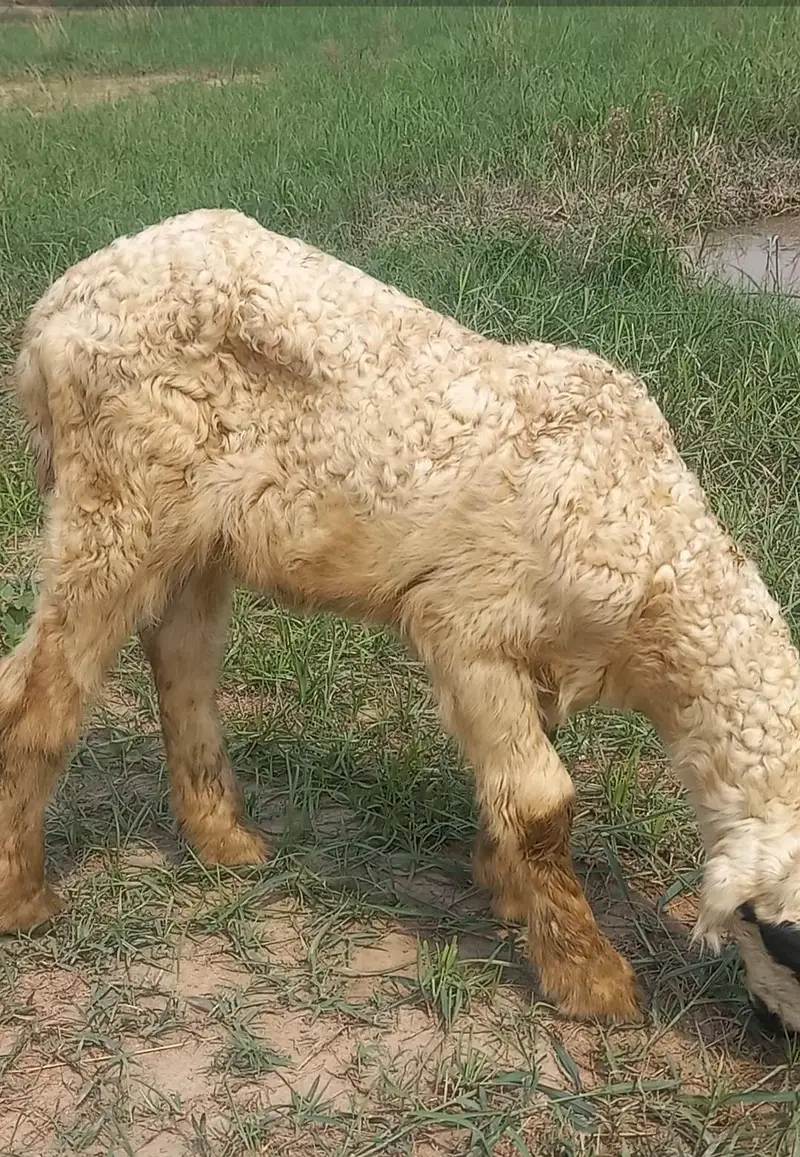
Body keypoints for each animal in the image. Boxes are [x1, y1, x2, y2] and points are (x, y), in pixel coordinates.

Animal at [3, 207, 800, 1032]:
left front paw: (506, 887)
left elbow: (521, 776)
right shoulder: (467, 623)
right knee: (41, 691)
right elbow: (544, 803)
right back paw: (24, 898)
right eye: (788, 940)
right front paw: (591, 978)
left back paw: (222, 838)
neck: (654, 555)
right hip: (115, 488)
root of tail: (54, 309)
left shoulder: (537, 655)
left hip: (197, 527)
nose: (779, 1033)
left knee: (180, 660)